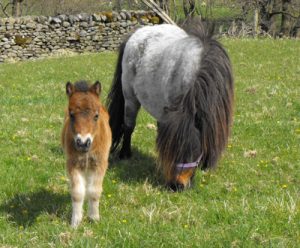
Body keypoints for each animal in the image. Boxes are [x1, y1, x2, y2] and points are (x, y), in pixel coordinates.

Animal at [61, 80, 112, 227]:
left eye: (96, 116)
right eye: (71, 114)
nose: (83, 143)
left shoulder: (100, 163)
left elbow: (94, 191)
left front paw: (94, 218)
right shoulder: (72, 164)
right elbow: (77, 193)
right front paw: (76, 222)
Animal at [106, 19, 233, 191]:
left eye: (194, 149)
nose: (177, 185)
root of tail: (136, 34)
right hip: (130, 98)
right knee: (128, 126)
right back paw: (125, 154)